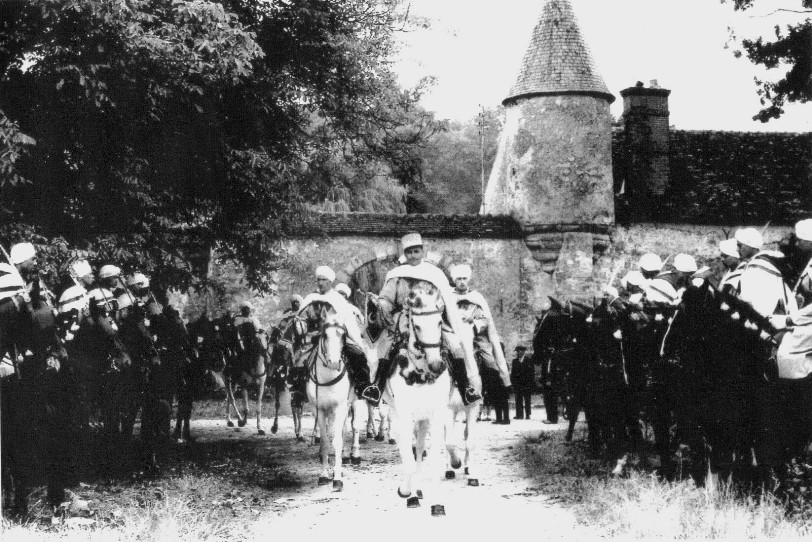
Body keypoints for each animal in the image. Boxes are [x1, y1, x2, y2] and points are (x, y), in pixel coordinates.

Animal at [304, 310, 352, 492]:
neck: (328, 378)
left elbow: (337, 440)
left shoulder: (340, 407)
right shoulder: (319, 409)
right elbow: (325, 441)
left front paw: (337, 478)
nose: (333, 363)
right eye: (324, 335)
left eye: (343, 335)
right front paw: (324, 475)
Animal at [384, 286, 454, 516]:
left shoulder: (437, 414)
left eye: (440, 322)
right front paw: (410, 494)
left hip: (422, 419)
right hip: (396, 413)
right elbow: (408, 455)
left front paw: (437, 504)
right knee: (404, 444)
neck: (421, 373)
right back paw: (410, 490)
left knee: (420, 446)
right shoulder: (405, 415)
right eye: (417, 325)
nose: (437, 365)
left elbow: (431, 457)